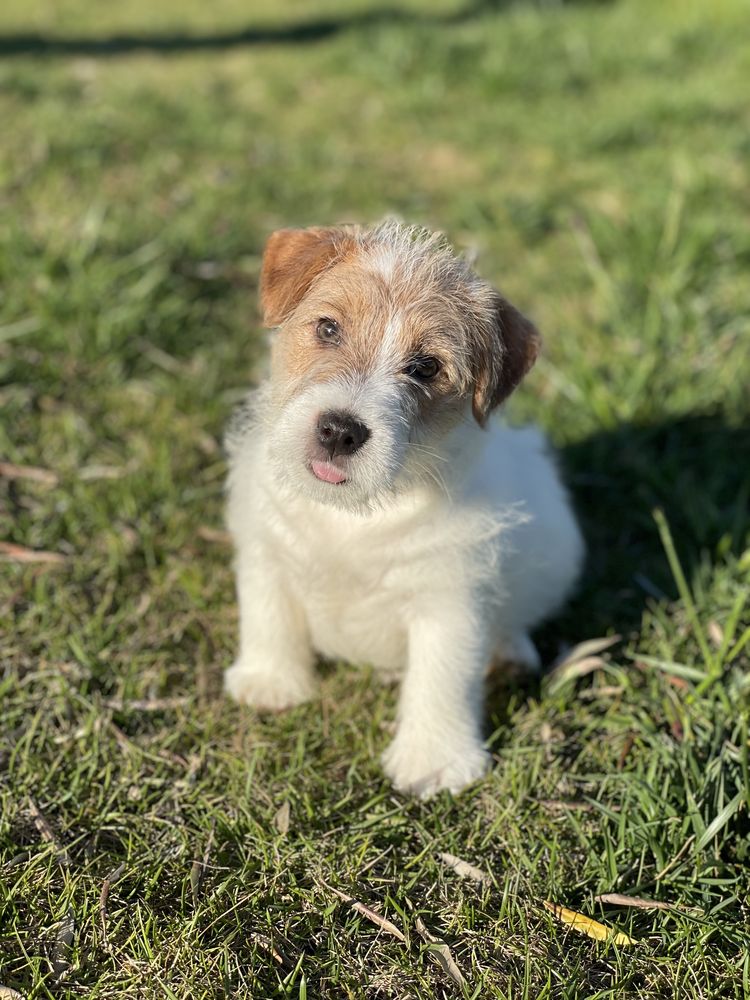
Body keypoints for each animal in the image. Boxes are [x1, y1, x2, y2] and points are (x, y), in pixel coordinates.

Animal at [225, 221, 588, 796]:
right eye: (328, 328)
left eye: (425, 367)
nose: (339, 431)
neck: (352, 515)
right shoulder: (267, 552)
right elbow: (267, 616)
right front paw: (270, 682)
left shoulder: (449, 601)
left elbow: (440, 678)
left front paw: (434, 760)